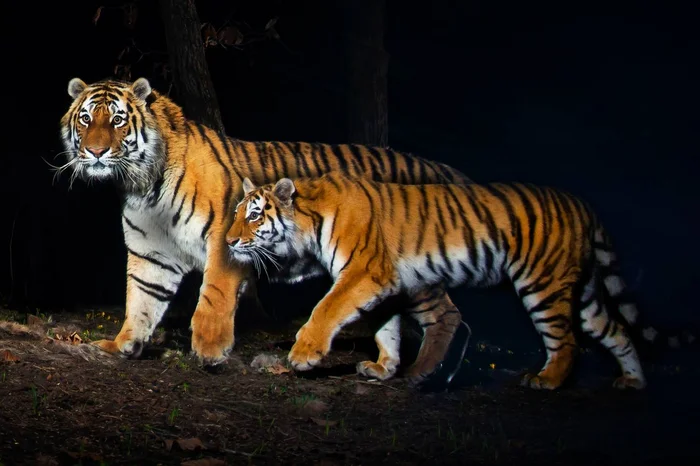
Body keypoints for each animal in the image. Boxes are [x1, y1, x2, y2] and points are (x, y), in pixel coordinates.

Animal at [58, 77, 470, 378]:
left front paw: (210, 348)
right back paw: (384, 368)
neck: (141, 185)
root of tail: (444, 170)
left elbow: (213, 296)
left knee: (451, 317)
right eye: (86, 119)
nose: (95, 152)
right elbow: (141, 300)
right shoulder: (151, 254)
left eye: (117, 120)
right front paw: (123, 344)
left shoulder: (225, 238)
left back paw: (427, 372)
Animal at [227, 174, 648, 390]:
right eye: (235, 214)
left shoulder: (364, 271)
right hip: (583, 291)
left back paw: (546, 379)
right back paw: (633, 380)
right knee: (616, 330)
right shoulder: (386, 283)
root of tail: (583, 204)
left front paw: (303, 355)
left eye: (253, 216)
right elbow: (386, 330)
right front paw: (383, 368)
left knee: (567, 341)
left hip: (543, 284)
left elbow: (326, 309)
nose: (228, 241)